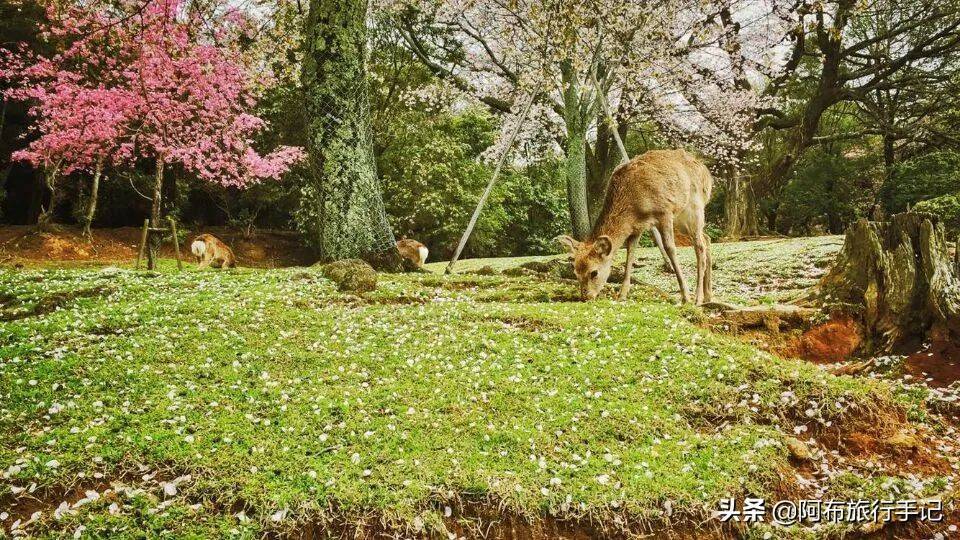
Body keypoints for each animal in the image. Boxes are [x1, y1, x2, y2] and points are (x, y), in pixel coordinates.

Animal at [556, 149, 712, 304]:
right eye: (575, 271)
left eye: (594, 272)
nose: (586, 297)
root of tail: (707, 174)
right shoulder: (637, 227)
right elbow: (630, 253)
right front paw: (622, 295)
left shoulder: (665, 211)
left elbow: (670, 248)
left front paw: (685, 296)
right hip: (682, 220)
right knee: (706, 238)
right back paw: (708, 295)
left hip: (695, 208)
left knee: (699, 246)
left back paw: (698, 298)